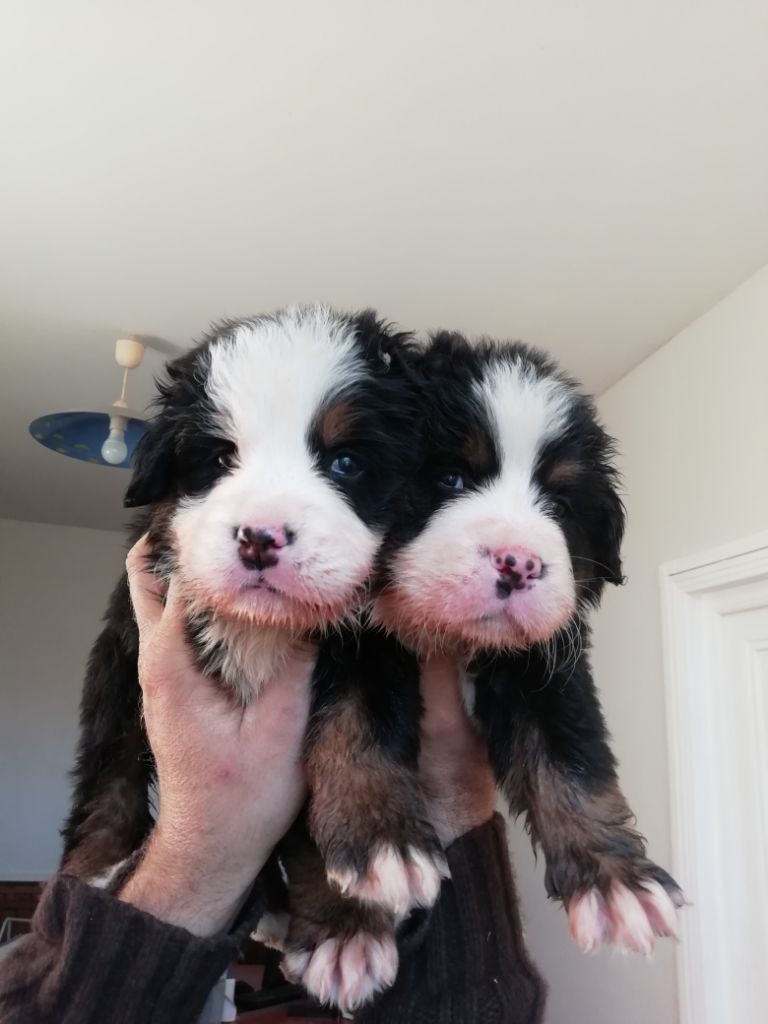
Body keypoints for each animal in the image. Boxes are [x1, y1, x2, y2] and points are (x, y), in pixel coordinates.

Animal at [63, 303, 448, 1007]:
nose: (259, 538)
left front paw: (373, 857)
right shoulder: (130, 648)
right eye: (219, 457)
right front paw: (93, 874)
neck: (262, 629)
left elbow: (358, 731)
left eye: (346, 462)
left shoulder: (372, 641)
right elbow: (112, 774)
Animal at [376, 331, 688, 954]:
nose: (518, 562)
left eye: (561, 505)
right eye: (449, 478)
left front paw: (617, 884)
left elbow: (570, 766)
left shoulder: (547, 669)